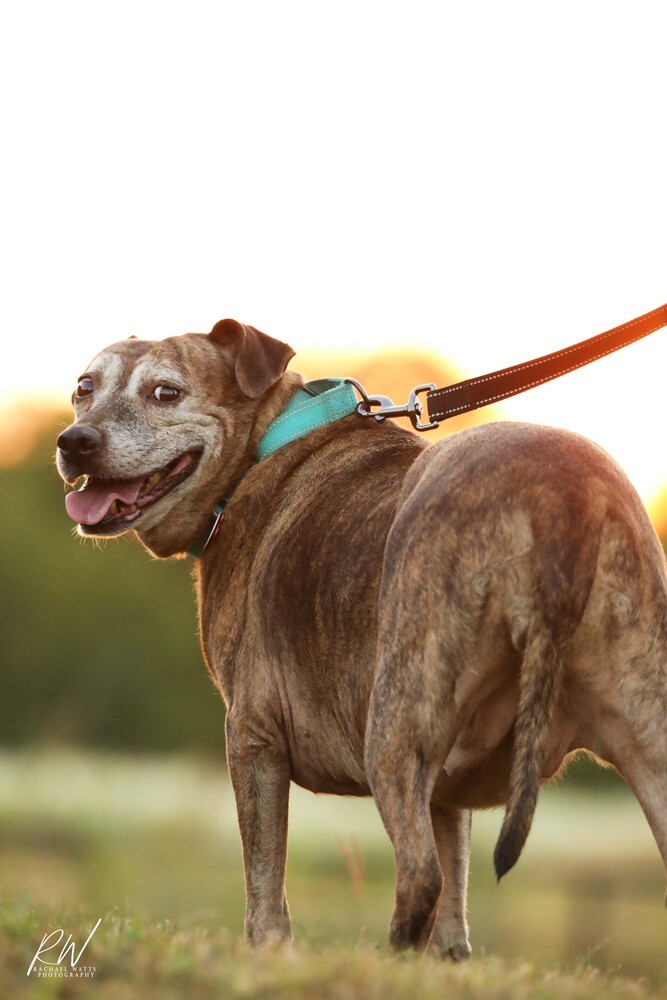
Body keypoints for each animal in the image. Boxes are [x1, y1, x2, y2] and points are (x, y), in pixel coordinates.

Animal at [57, 318, 667, 952]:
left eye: (166, 393)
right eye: (83, 388)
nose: (75, 442)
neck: (263, 445)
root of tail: (564, 500)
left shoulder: (252, 738)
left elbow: (264, 890)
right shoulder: (445, 788)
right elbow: (454, 908)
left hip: (394, 726)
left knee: (419, 875)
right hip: (648, 739)